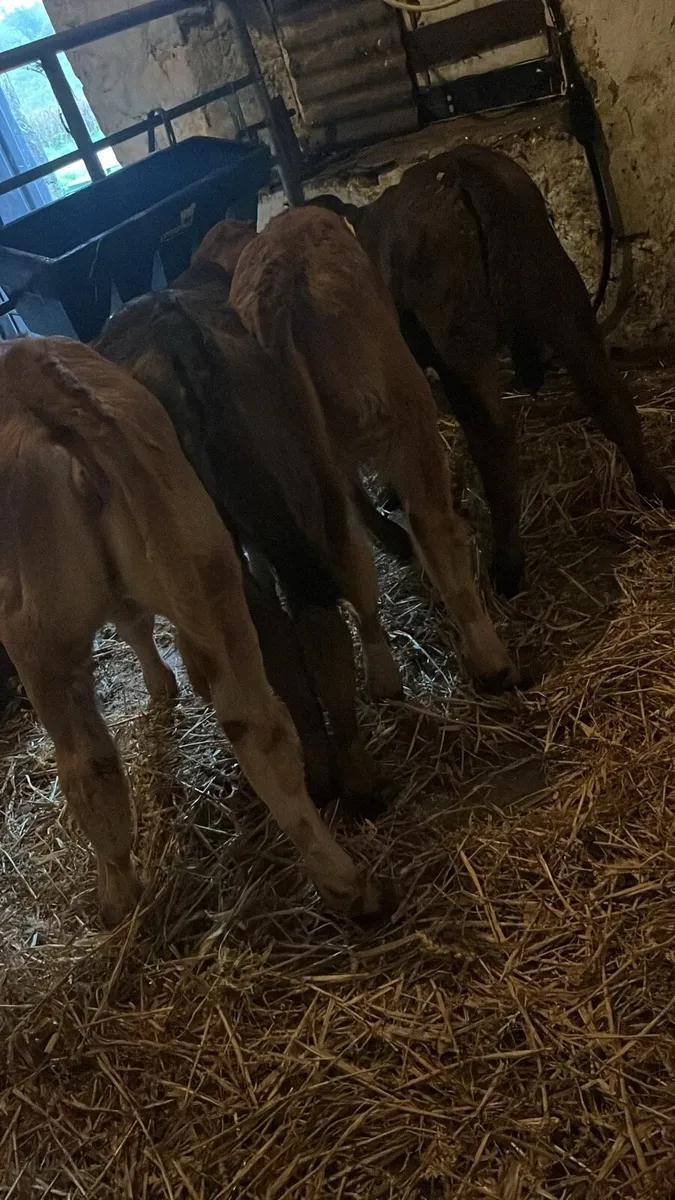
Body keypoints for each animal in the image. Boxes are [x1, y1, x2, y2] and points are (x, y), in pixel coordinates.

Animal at [0, 336, 390, 927]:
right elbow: (134, 620)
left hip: (36, 637)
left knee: (86, 764)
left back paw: (117, 896)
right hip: (205, 565)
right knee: (261, 728)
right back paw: (344, 882)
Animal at [96, 271, 387, 819]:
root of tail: (173, 335)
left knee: (272, 630)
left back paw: (321, 772)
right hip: (297, 483)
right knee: (310, 614)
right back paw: (352, 775)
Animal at [193, 206, 519, 694]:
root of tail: (279, 279)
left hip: (297, 469)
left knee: (348, 551)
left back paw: (381, 674)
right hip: (404, 410)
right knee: (432, 526)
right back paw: (491, 661)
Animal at [307, 144, 675, 596]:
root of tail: (464, 170)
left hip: (461, 346)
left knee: (493, 436)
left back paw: (506, 565)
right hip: (562, 300)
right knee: (608, 395)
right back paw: (657, 492)